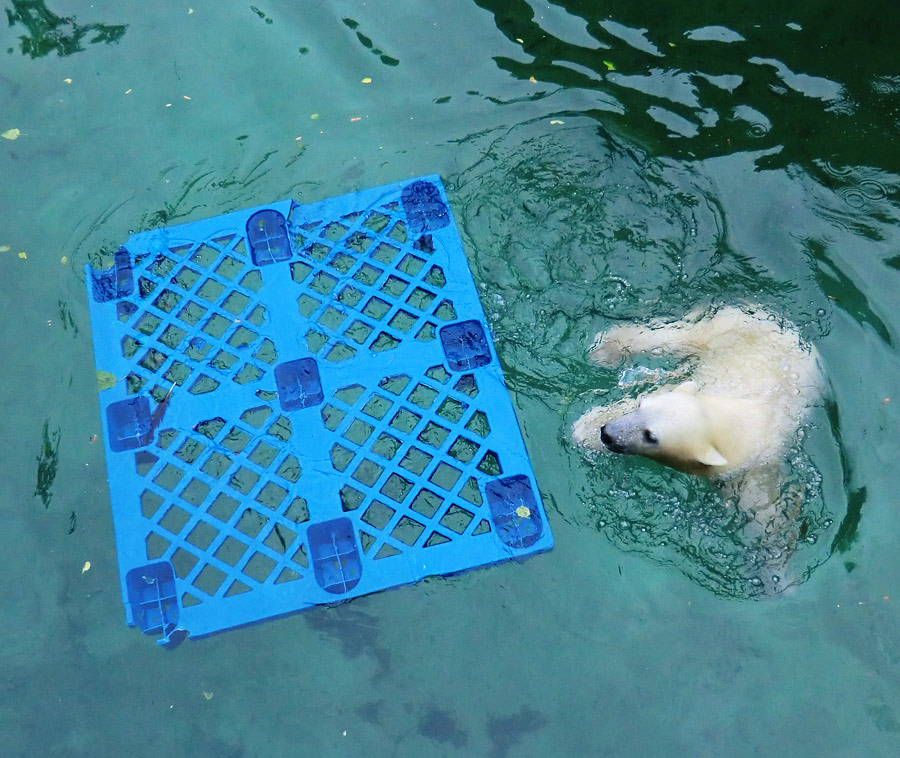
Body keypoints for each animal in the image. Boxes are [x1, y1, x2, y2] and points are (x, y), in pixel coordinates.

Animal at [576, 308, 824, 548]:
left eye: (651, 436)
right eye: (640, 406)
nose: (607, 434)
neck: (731, 418)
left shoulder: (751, 465)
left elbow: (761, 507)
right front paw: (585, 428)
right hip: (727, 328)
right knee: (676, 336)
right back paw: (607, 349)